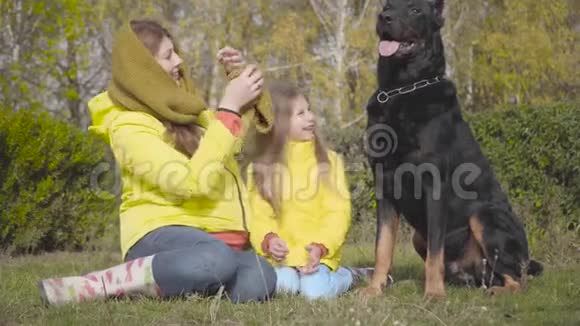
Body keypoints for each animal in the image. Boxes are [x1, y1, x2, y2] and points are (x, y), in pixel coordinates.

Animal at [362, 0, 544, 298]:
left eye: (415, 10)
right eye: (387, 6)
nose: (384, 18)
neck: (402, 88)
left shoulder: (435, 184)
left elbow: (436, 252)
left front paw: (434, 294)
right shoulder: (384, 186)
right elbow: (383, 247)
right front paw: (374, 289)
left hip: (484, 217)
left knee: (519, 279)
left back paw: (494, 291)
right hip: (419, 235)